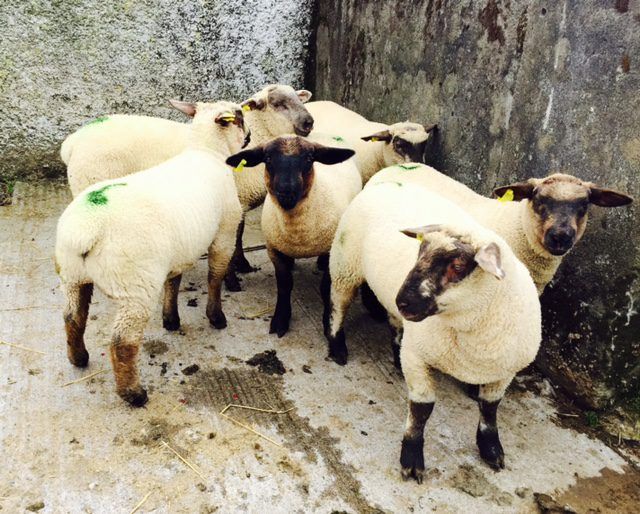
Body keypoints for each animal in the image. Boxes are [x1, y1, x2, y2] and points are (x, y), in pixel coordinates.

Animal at [55, 101, 247, 407]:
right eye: (239, 117)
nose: (250, 135)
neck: (206, 151)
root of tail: (84, 229)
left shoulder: (179, 250)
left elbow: (174, 281)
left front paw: (171, 319)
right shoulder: (225, 233)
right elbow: (215, 277)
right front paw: (216, 317)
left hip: (73, 275)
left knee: (72, 317)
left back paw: (78, 358)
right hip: (135, 288)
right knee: (123, 343)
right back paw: (134, 394)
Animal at [61, 84, 314, 291]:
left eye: (299, 98)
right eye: (278, 104)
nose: (309, 122)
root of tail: (72, 142)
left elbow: (239, 235)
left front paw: (242, 264)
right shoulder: (235, 201)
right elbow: (235, 236)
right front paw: (232, 278)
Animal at [226, 133, 360, 337]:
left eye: (309, 159)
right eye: (268, 159)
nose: (286, 191)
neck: (297, 234)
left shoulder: (331, 251)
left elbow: (325, 288)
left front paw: (326, 322)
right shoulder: (274, 250)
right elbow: (284, 284)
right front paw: (280, 319)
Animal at [322, 182, 541, 479]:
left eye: (458, 266)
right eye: (420, 251)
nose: (403, 300)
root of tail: (386, 182)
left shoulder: (505, 372)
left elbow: (490, 408)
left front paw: (491, 449)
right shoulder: (418, 356)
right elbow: (422, 409)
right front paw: (412, 457)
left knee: (395, 322)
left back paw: (395, 353)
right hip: (345, 263)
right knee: (338, 304)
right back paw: (337, 347)